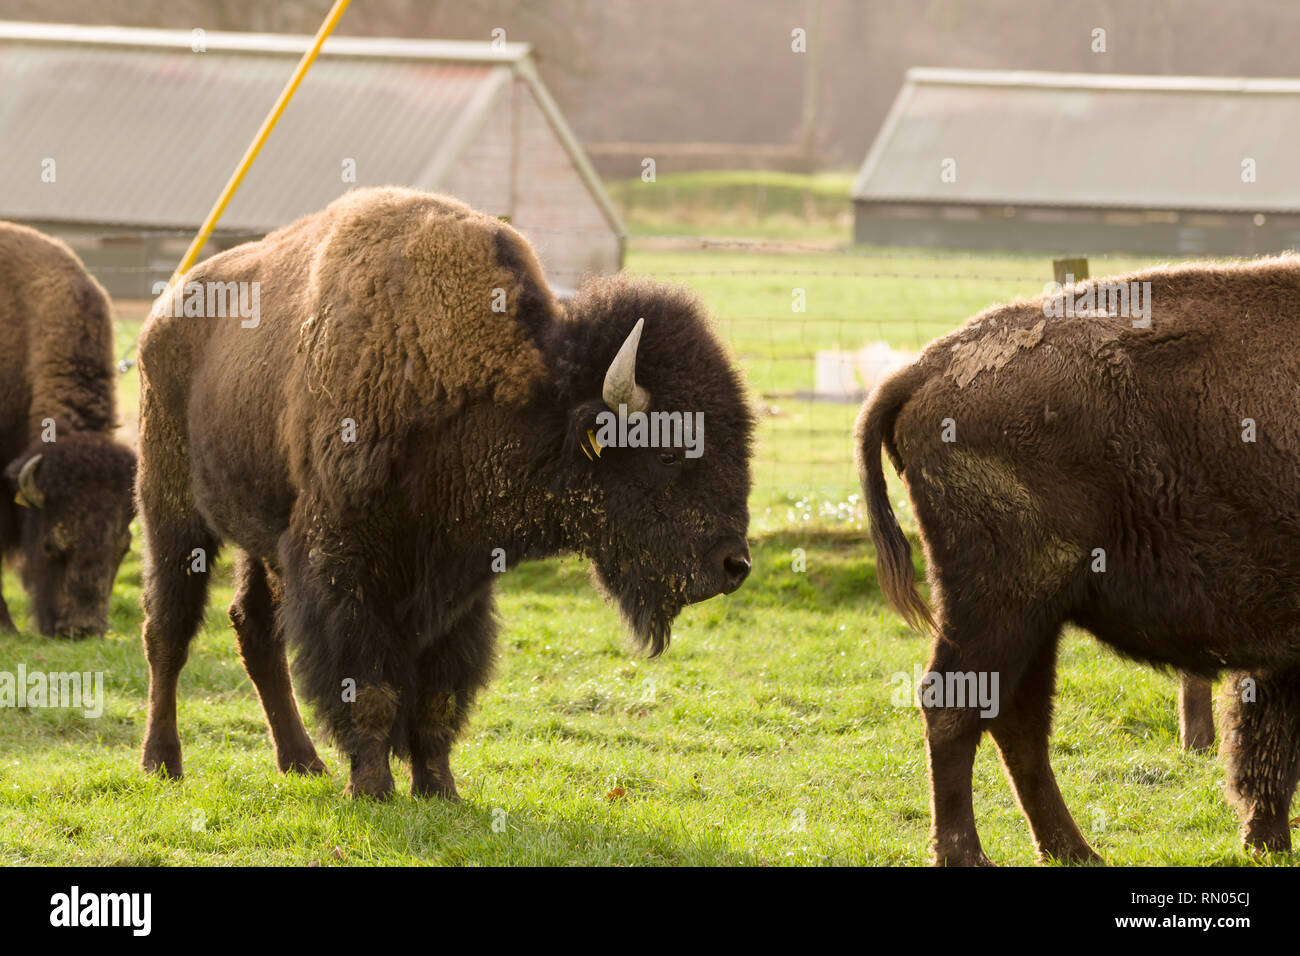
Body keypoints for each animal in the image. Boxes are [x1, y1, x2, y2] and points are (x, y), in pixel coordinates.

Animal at [136, 187, 753, 797]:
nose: (734, 565)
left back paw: (301, 762)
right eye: (668, 453)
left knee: (255, 630)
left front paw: (440, 791)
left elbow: (438, 697)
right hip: (172, 511)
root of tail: (161, 315)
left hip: (256, 533)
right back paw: (162, 762)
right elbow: (369, 689)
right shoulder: (343, 567)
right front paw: (373, 789)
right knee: (168, 630)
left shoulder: (460, 587)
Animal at [860, 256, 1300, 864]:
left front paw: (1265, 839)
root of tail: (926, 368)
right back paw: (969, 854)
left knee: (1015, 719)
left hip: (1033, 617)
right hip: (1005, 601)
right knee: (955, 708)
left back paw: (1073, 850)